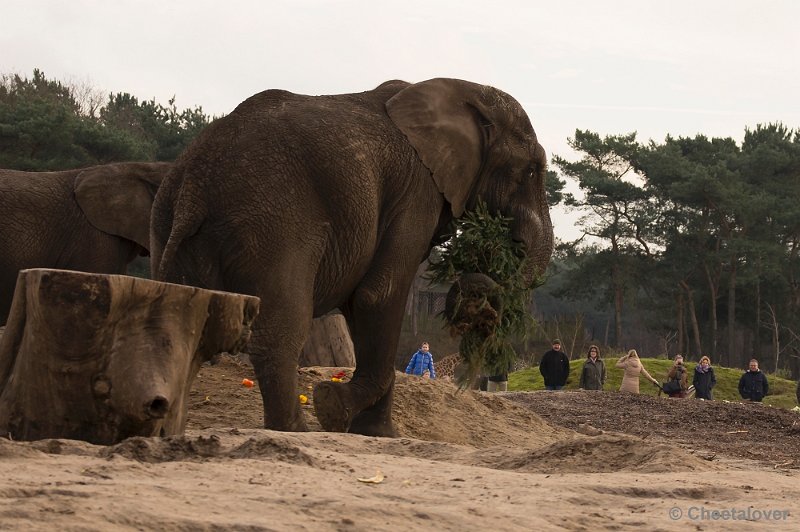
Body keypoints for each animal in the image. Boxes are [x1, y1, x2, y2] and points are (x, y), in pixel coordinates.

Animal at [150, 78, 552, 436]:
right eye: (531, 169)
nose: (472, 299)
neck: (464, 91)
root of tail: (195, 185)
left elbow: (363, 305)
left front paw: (378, 434)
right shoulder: (416, 191)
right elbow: (380, 294)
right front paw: (331, 407)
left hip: (168, 222)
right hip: (274, 224)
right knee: (282, 329)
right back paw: (296, 431)